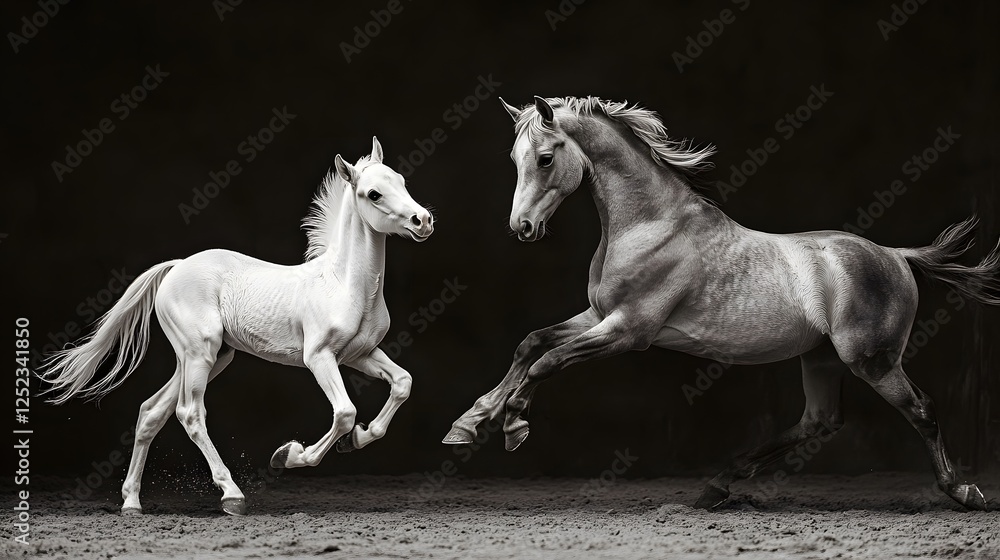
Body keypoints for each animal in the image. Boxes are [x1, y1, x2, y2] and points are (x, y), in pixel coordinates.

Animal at [40, 137, 434, 516]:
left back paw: (132, 503)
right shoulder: (319, 357)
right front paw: (289, 455)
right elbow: (345, 413)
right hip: (200, 353)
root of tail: (176, 267)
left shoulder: (360, 354)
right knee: (189, 414)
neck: (343, 285)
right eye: (373, 194)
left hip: (210, 357)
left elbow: (402, 383)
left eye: (401, 181)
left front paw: (358, 440)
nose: (423, 220)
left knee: (152, 412)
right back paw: (231, 496)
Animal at [443, 96, 1000, 511]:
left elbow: (549, 361)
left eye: (544, 158)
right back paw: (717, 487)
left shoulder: (628, 331)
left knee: (921, 410)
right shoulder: (599, 317)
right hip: (821, 358)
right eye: (514, 160)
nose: (522, 228)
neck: (650, 224)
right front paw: (468, 424)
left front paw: (513, 425)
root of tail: (896, 256)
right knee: (819, 421)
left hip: (872, 360)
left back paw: (964, 492)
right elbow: (530, 343)